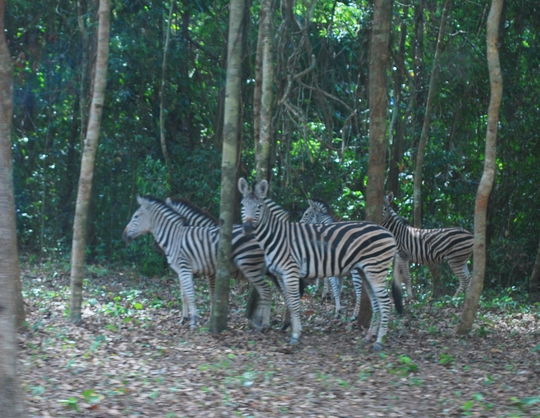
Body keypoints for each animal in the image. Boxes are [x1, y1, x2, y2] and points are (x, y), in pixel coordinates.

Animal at [123, 195, 274, 330]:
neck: (176, 236)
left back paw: (263, 324)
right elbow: (184, 295)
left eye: (135, 217)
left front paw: (198, 320)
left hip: (251, 266)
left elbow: (201, 295)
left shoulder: (197, 270)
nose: (123, 235)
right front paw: (183, 319)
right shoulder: (182, 271)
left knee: (266, 291)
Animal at [238, 178, 402, 352]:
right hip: (365, 272)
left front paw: (295, 335)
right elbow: (289, 301)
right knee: (377, 304)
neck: (276, 236)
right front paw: (290, 327)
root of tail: (388, 232)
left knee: (385, 303)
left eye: (259, 207)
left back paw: (379, 341)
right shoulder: (280, 274)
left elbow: (295, 303)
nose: (247, 228)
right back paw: (369, 337)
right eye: (242, 205)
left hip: (375, 270)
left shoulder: (291, 272)